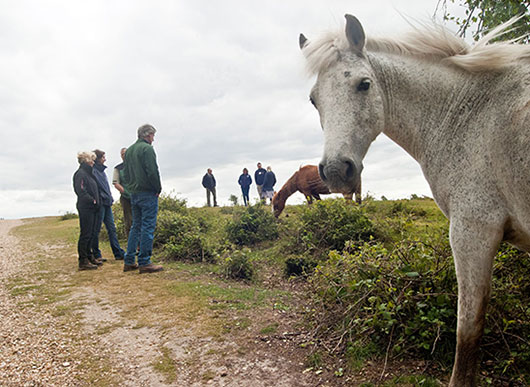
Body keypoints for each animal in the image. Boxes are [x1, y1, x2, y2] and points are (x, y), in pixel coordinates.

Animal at [300, 13, 524, 386]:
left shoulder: (473, 232)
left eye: (364, 84)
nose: (335, 170)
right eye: (314, 100)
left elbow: (468, 332)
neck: (470, 115)